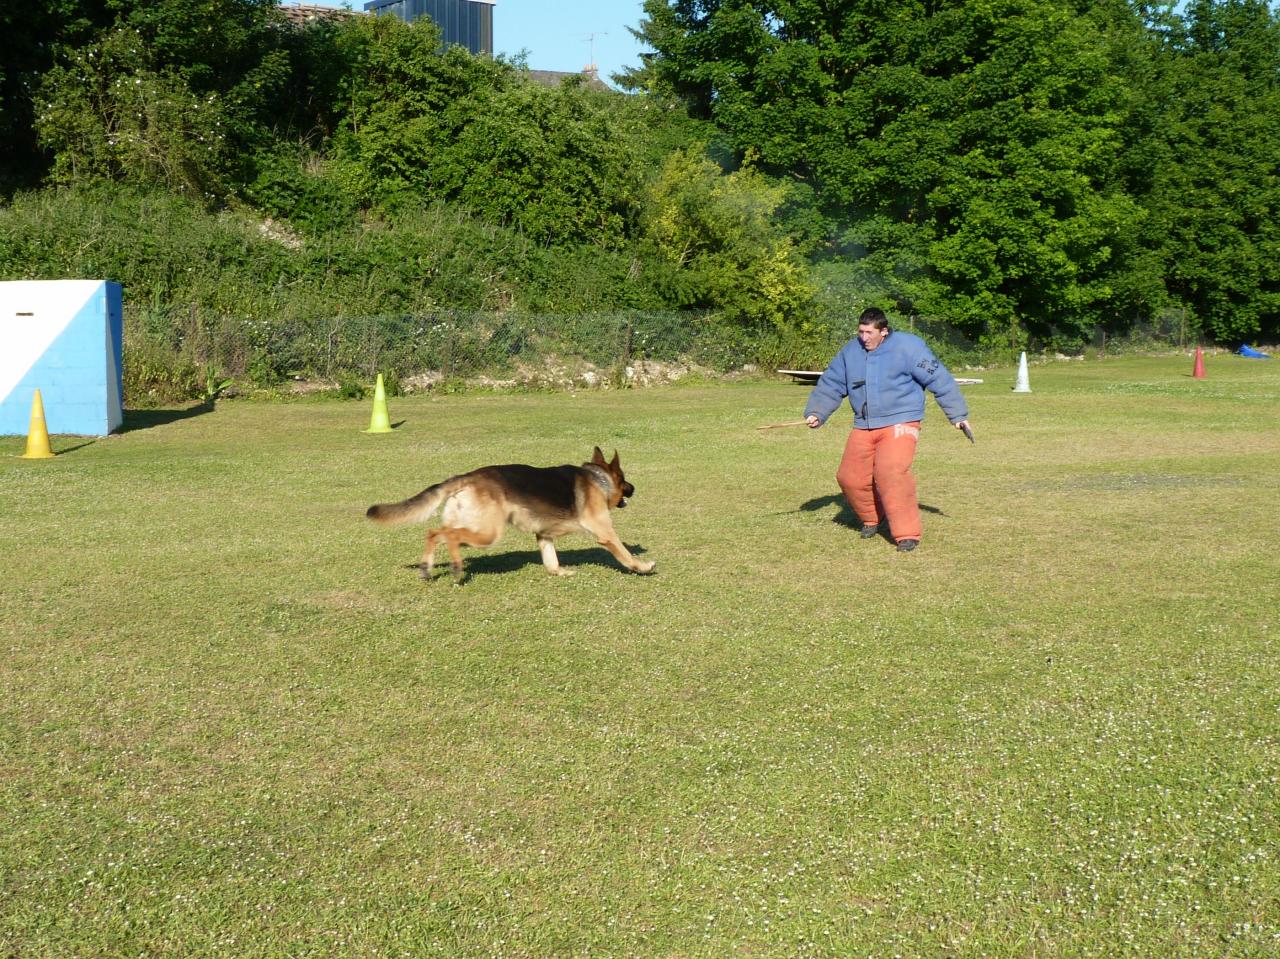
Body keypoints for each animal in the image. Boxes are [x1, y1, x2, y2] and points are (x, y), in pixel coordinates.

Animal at [366, 445, 655, 578]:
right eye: (624, 480)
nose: (635, 488)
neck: (598, 478)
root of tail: (466, 477)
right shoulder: (605, 531)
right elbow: (623, 552)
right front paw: (641, 566)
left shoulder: (544, 536)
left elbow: (551, 561)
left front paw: (560, 573)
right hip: (488, 532)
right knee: (448, 537)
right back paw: (456, 568)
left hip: (468, 524)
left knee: (436, 533)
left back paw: (428, 568)